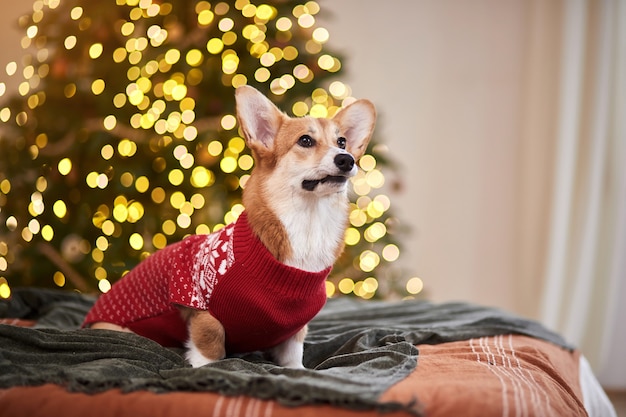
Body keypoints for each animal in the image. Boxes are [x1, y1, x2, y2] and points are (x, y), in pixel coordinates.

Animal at [83, 86, 376, 366]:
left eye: (342, 142)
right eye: (305, 140)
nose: (347, 159)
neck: (309, 222)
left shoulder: (295, 332)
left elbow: (293, 357)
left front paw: (298, 370)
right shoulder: (201, 308)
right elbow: (211, 346)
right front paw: (206, 368)